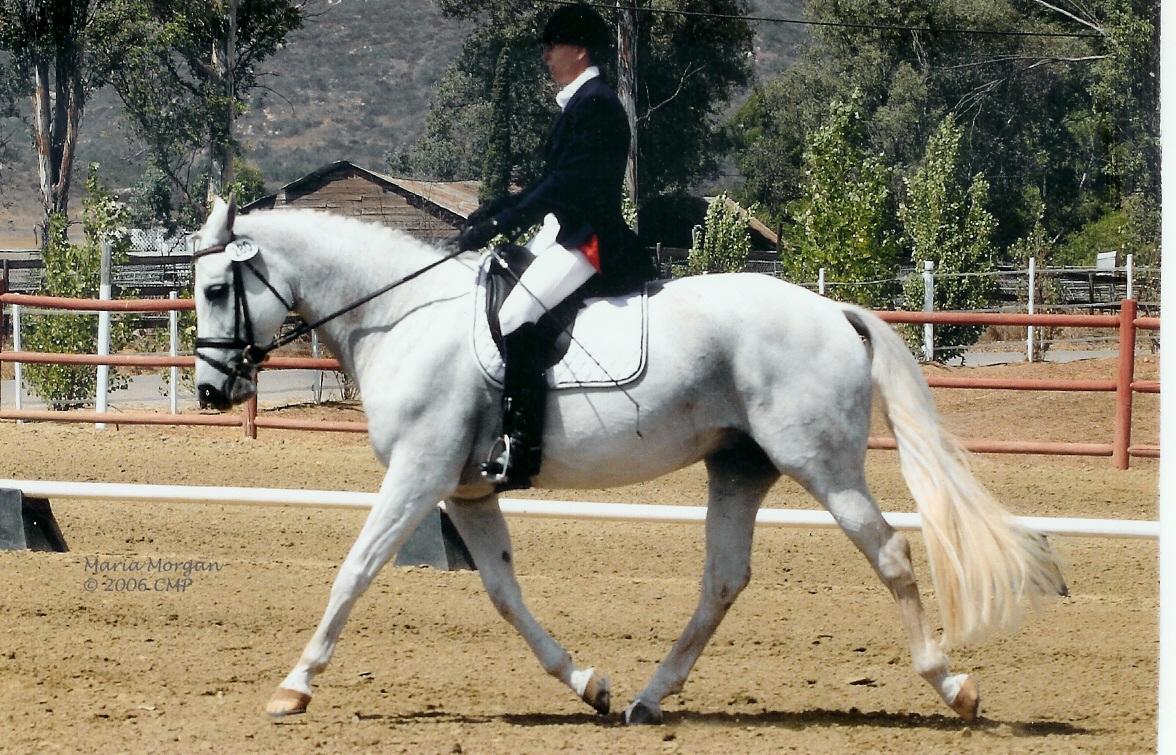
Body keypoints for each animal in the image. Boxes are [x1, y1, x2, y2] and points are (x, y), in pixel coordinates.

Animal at [190, 198, 1067, 724]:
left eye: (212, 289)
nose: (208, 391)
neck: (399, 315)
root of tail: (833, 310)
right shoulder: (468, 490)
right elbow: (504, 591)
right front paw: (588, 683)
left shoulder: (418, 475)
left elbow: (356, 568)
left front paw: (294, 684)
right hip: (740, 467)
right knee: (723, 579)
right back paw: (647, 696)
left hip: (822, 463)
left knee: (889, 552)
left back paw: (954, 685)